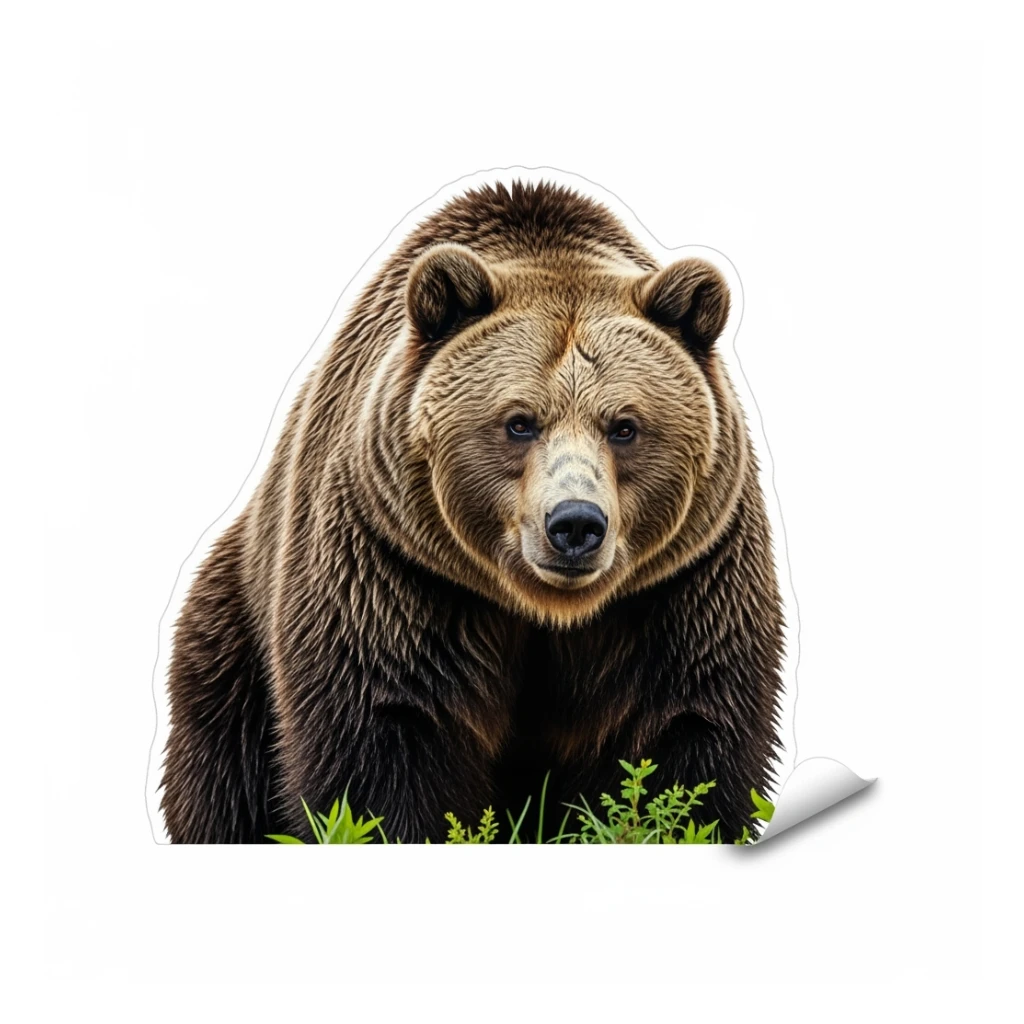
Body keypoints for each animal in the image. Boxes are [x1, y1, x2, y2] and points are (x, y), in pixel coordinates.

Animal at [159, 180, 785, 844]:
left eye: (624, 426)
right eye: (519, 421)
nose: (575, 525)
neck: (545, 612)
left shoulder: (683, 584)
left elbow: (685, 731)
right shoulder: (396, 568)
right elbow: (385, 734)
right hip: (234, 644)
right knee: (224, 773)